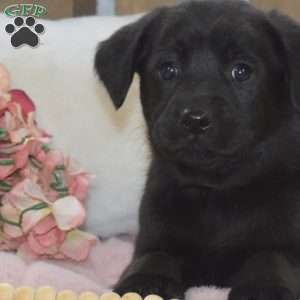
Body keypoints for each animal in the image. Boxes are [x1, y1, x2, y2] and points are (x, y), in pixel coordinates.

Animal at [95, 1, 300, 298]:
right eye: (168, 69)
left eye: (241, 71)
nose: (195, 119)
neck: (215, 192)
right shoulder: (153, 237)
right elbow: (155, 256)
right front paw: (145, 281)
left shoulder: (289, 243)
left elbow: (270, 256)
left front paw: (264, 287)